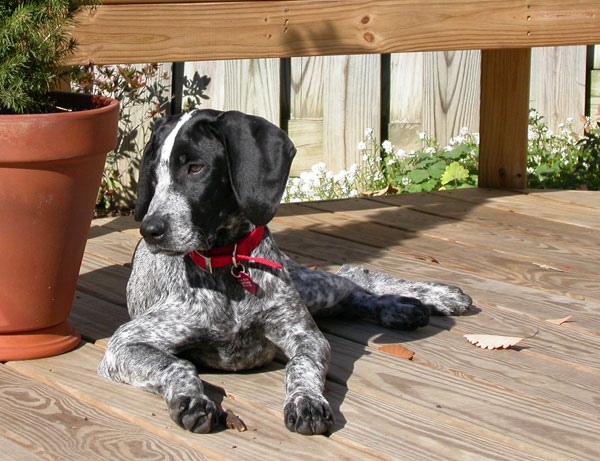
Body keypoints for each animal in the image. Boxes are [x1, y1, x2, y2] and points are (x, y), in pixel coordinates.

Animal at [98, 109, 472, 435]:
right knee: (351, 293)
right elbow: (177, 364)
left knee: (354, 274)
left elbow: (300, 366)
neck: (228, 264)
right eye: (154, 175)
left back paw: (430, 297)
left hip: (310, 285)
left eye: (196, 168)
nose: (150, 230)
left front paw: (306, 401)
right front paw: (191, 398)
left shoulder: (305, 335)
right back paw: (401, 309)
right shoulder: (123, 345)